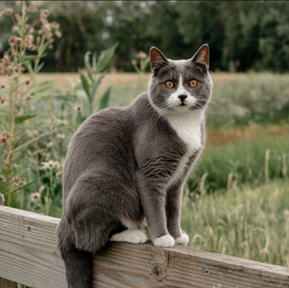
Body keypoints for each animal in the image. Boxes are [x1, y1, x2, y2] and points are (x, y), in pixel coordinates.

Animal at [57, 44, 213, 286]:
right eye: (169, 84)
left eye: (193, 83)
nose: (182, 96)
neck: (183, 123)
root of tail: (63, 224)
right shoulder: (150, 171)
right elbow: (155, 207)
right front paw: (162, 238)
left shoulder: (179, 177)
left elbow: (173, 208)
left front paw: (177, 236)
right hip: (104, 185)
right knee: (92, 240)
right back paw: (135, 234)